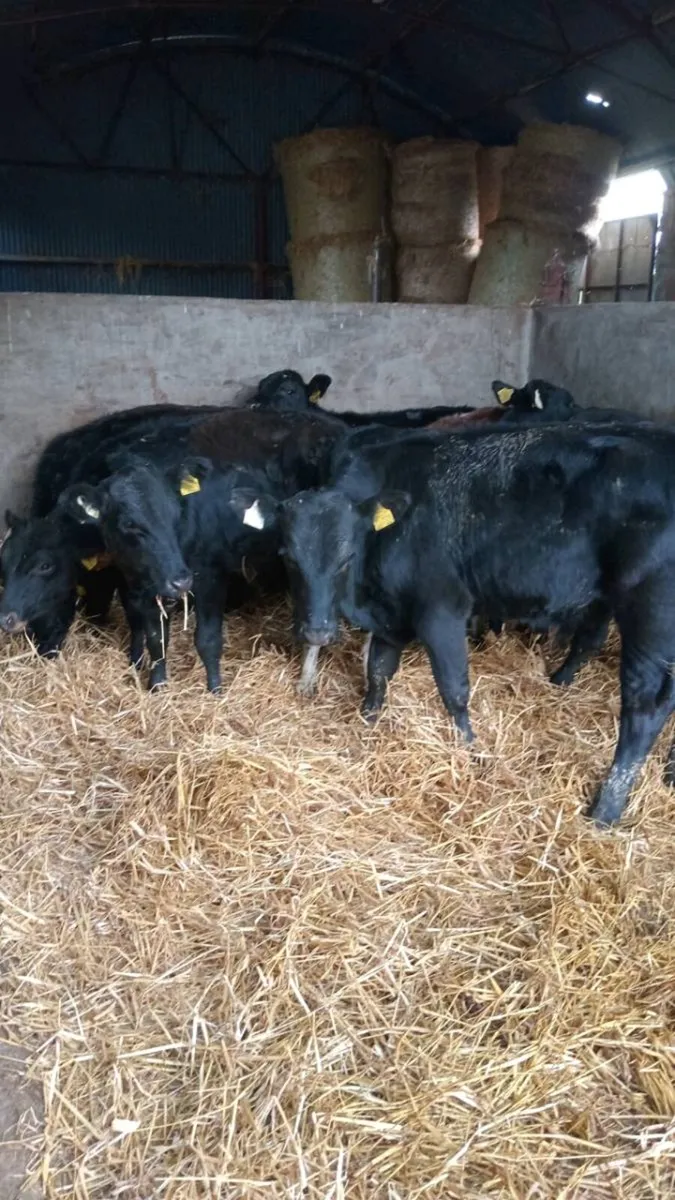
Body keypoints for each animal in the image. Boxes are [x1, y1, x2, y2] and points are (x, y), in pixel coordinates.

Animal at [230, 420, 675, 825]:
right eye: (287, 556)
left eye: (346, 556)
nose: (318, 631)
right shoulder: (391, 615)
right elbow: (378, 672)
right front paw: (367, 722)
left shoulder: (441, 609)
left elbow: (453, 689)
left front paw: (470, 750)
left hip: (649, 619)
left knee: (644, 711)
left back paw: (605, 810)